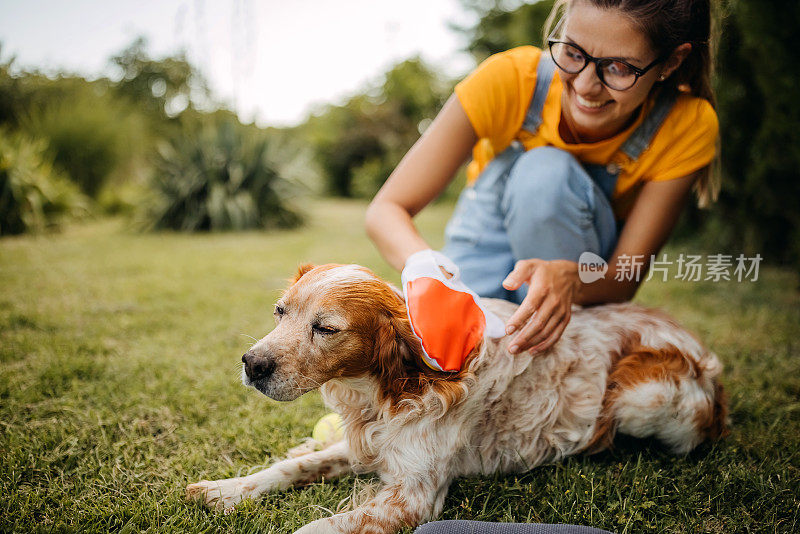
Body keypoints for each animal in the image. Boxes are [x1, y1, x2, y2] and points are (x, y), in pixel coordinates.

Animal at [184, 264, 728, 534]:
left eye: (326, 329)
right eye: (280, 312)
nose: (251, 364)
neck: (386, 392)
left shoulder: (414, 496)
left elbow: (313, 528)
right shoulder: (371, 446)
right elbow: (290, 468)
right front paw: (227, 490)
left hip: (640, 396)